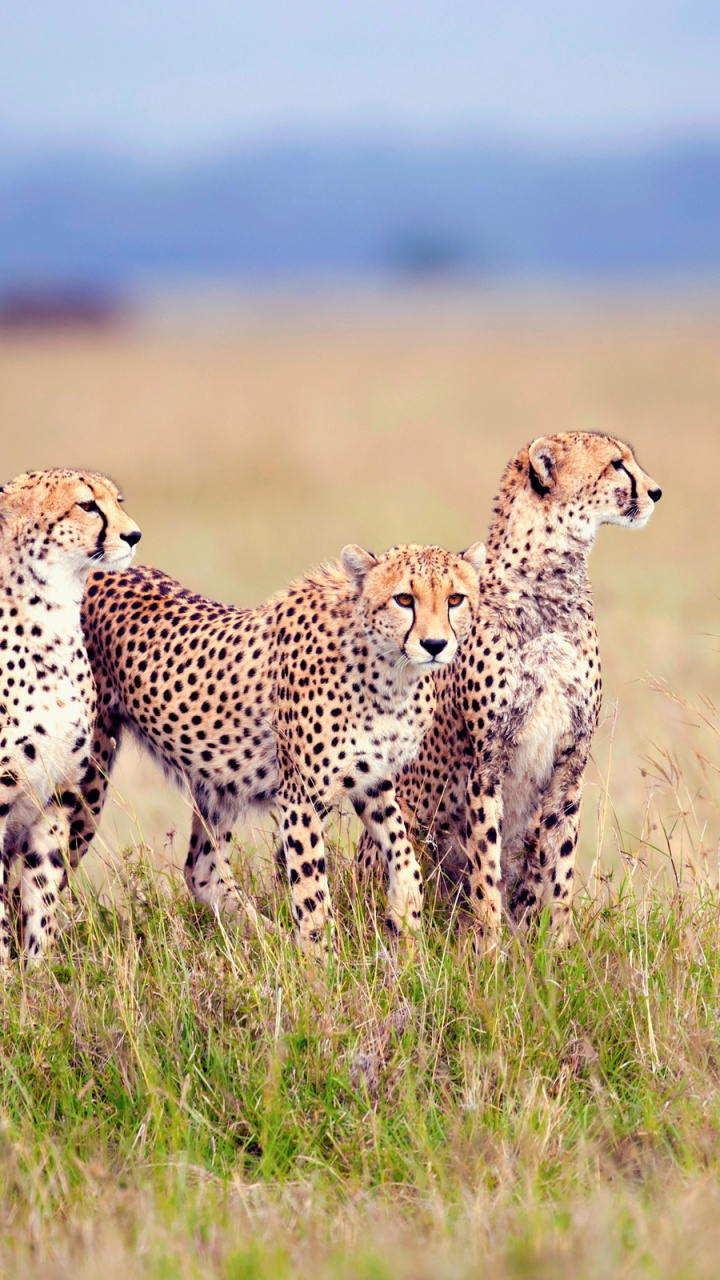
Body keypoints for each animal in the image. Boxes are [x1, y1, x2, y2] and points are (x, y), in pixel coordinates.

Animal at [0, 468, 141, 963]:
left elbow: (41, 891)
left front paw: (38, 971)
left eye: (117, 501)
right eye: (86, 505)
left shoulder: (58, 796)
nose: (134, 534)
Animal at [67, 540, 486, 955]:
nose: (435, 645)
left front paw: (406, 921)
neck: (390, 672)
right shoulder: (301, 797)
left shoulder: (373, 780)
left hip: (219, 781)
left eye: (455, 599)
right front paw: (321, 962)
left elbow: (403, 851)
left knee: (202, 870)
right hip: (88, 772)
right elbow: (312, 892)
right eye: (403, 599)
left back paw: (271, 940)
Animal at [358, 431, 661, 949]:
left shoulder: (571, 758)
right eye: (617, 465)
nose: (657, 492)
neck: (552, 584)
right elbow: (487, 863)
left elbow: (560, 859)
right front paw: (490, 947)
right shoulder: (487, 762)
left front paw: (558, 947)